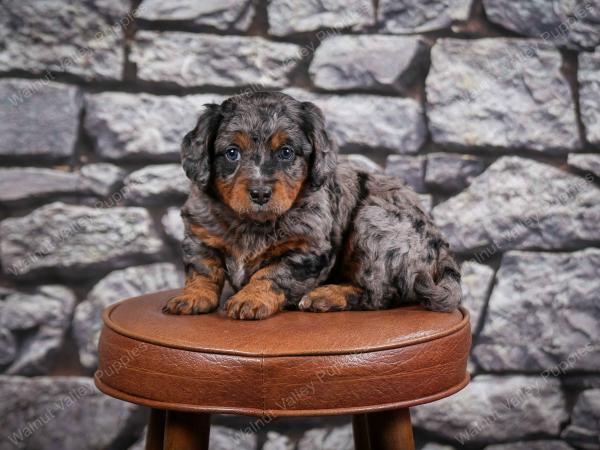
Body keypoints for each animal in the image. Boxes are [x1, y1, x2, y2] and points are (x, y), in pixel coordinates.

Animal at [162, 91, 462, 318]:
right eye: (232, 153)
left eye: (286, 152)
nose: (260, 193)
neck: (251, 223)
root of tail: (443, 251)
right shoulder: (199, 235)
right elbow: (203, 270)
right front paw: (192, 296)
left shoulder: (309, 250)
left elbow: (273, 274)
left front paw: (251, 298)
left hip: (375, 224)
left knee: (380, 294)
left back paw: (327, 296)